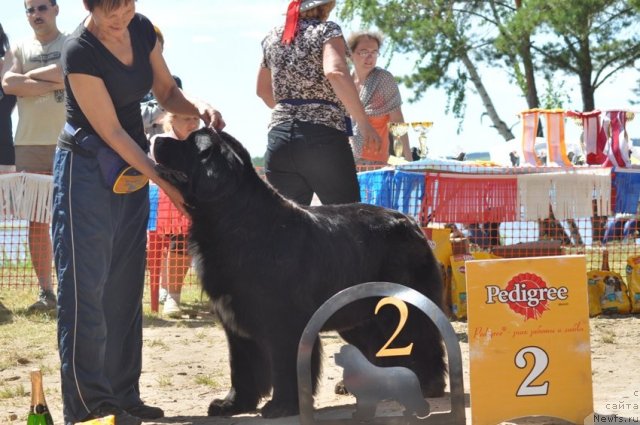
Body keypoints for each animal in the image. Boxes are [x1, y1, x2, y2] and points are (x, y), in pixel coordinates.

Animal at [153, 128, 448, 418]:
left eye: (190, 143)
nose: (156, 138)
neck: (233, 220)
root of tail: (412, 223)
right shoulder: (234, 320)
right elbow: (241, 367)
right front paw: (233, 405)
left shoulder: (283, 320)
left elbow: (284, 365)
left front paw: (281, 406)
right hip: (358, 316)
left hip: (397, 306)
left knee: (423, 340)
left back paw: (428, 385)